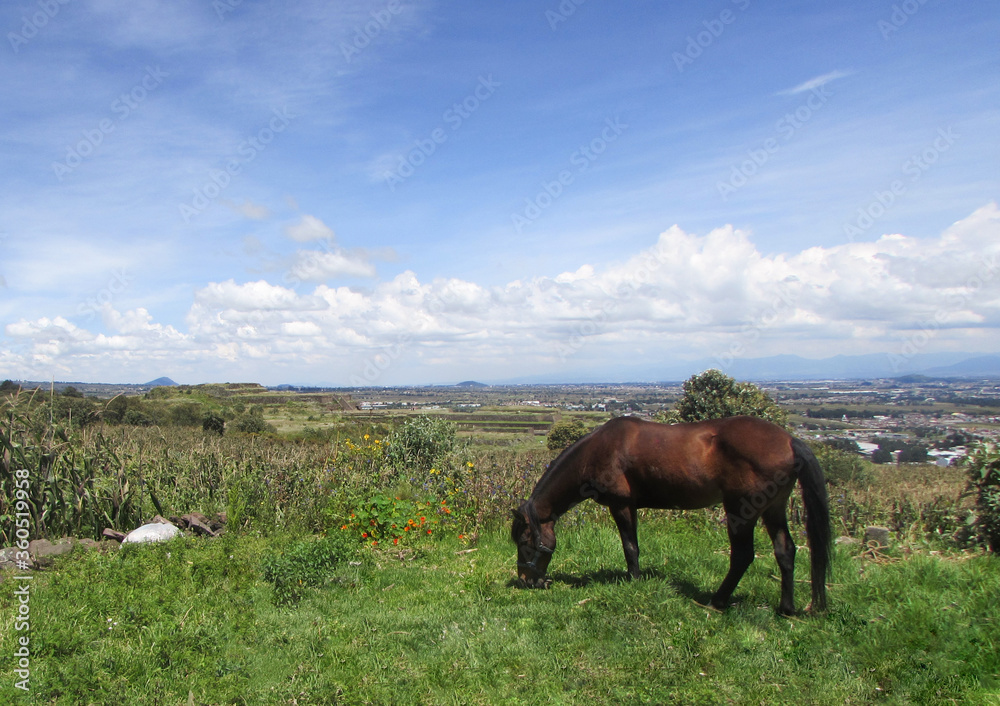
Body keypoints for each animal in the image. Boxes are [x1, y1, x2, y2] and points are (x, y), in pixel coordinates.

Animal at [511, 415, 831, 615]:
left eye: (524, 541)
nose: (526, 580)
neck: (599, 450)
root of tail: (790, 441)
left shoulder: (622, 505)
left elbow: (630, 547)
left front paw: (634, 580)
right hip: (774, 508)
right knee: (785, 551)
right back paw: (786, 608)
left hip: (741, 510)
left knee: (743, 556)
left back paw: (716, 601)